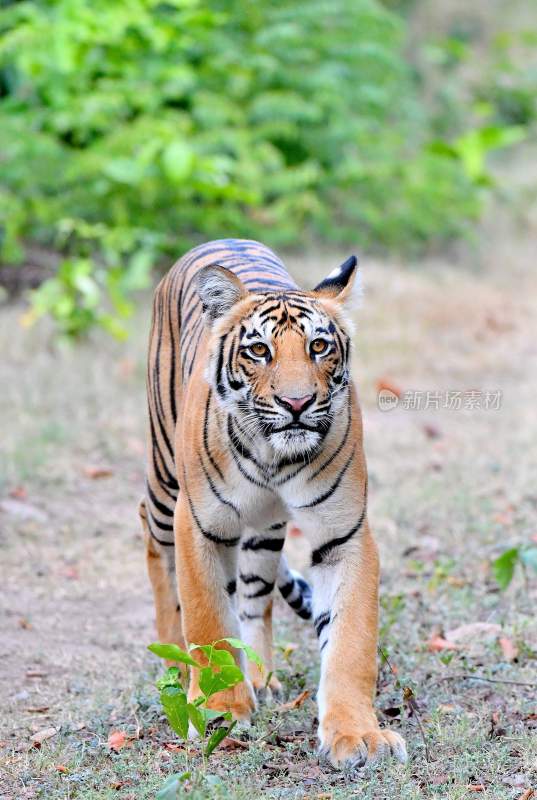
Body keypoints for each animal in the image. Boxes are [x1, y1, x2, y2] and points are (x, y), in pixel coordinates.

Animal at [138, 238, 406, 768]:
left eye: (318, 346)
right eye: (259, 350)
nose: (297, 404)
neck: (273, 457)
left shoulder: (344, 535)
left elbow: (351, 642)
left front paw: (358, 734)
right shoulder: (196, 523)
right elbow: (207, 622)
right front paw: (220, 709)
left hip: (264, 533)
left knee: (254, 597)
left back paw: (260, 676)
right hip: (163, 482)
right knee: (154, 545)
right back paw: (173, 658)